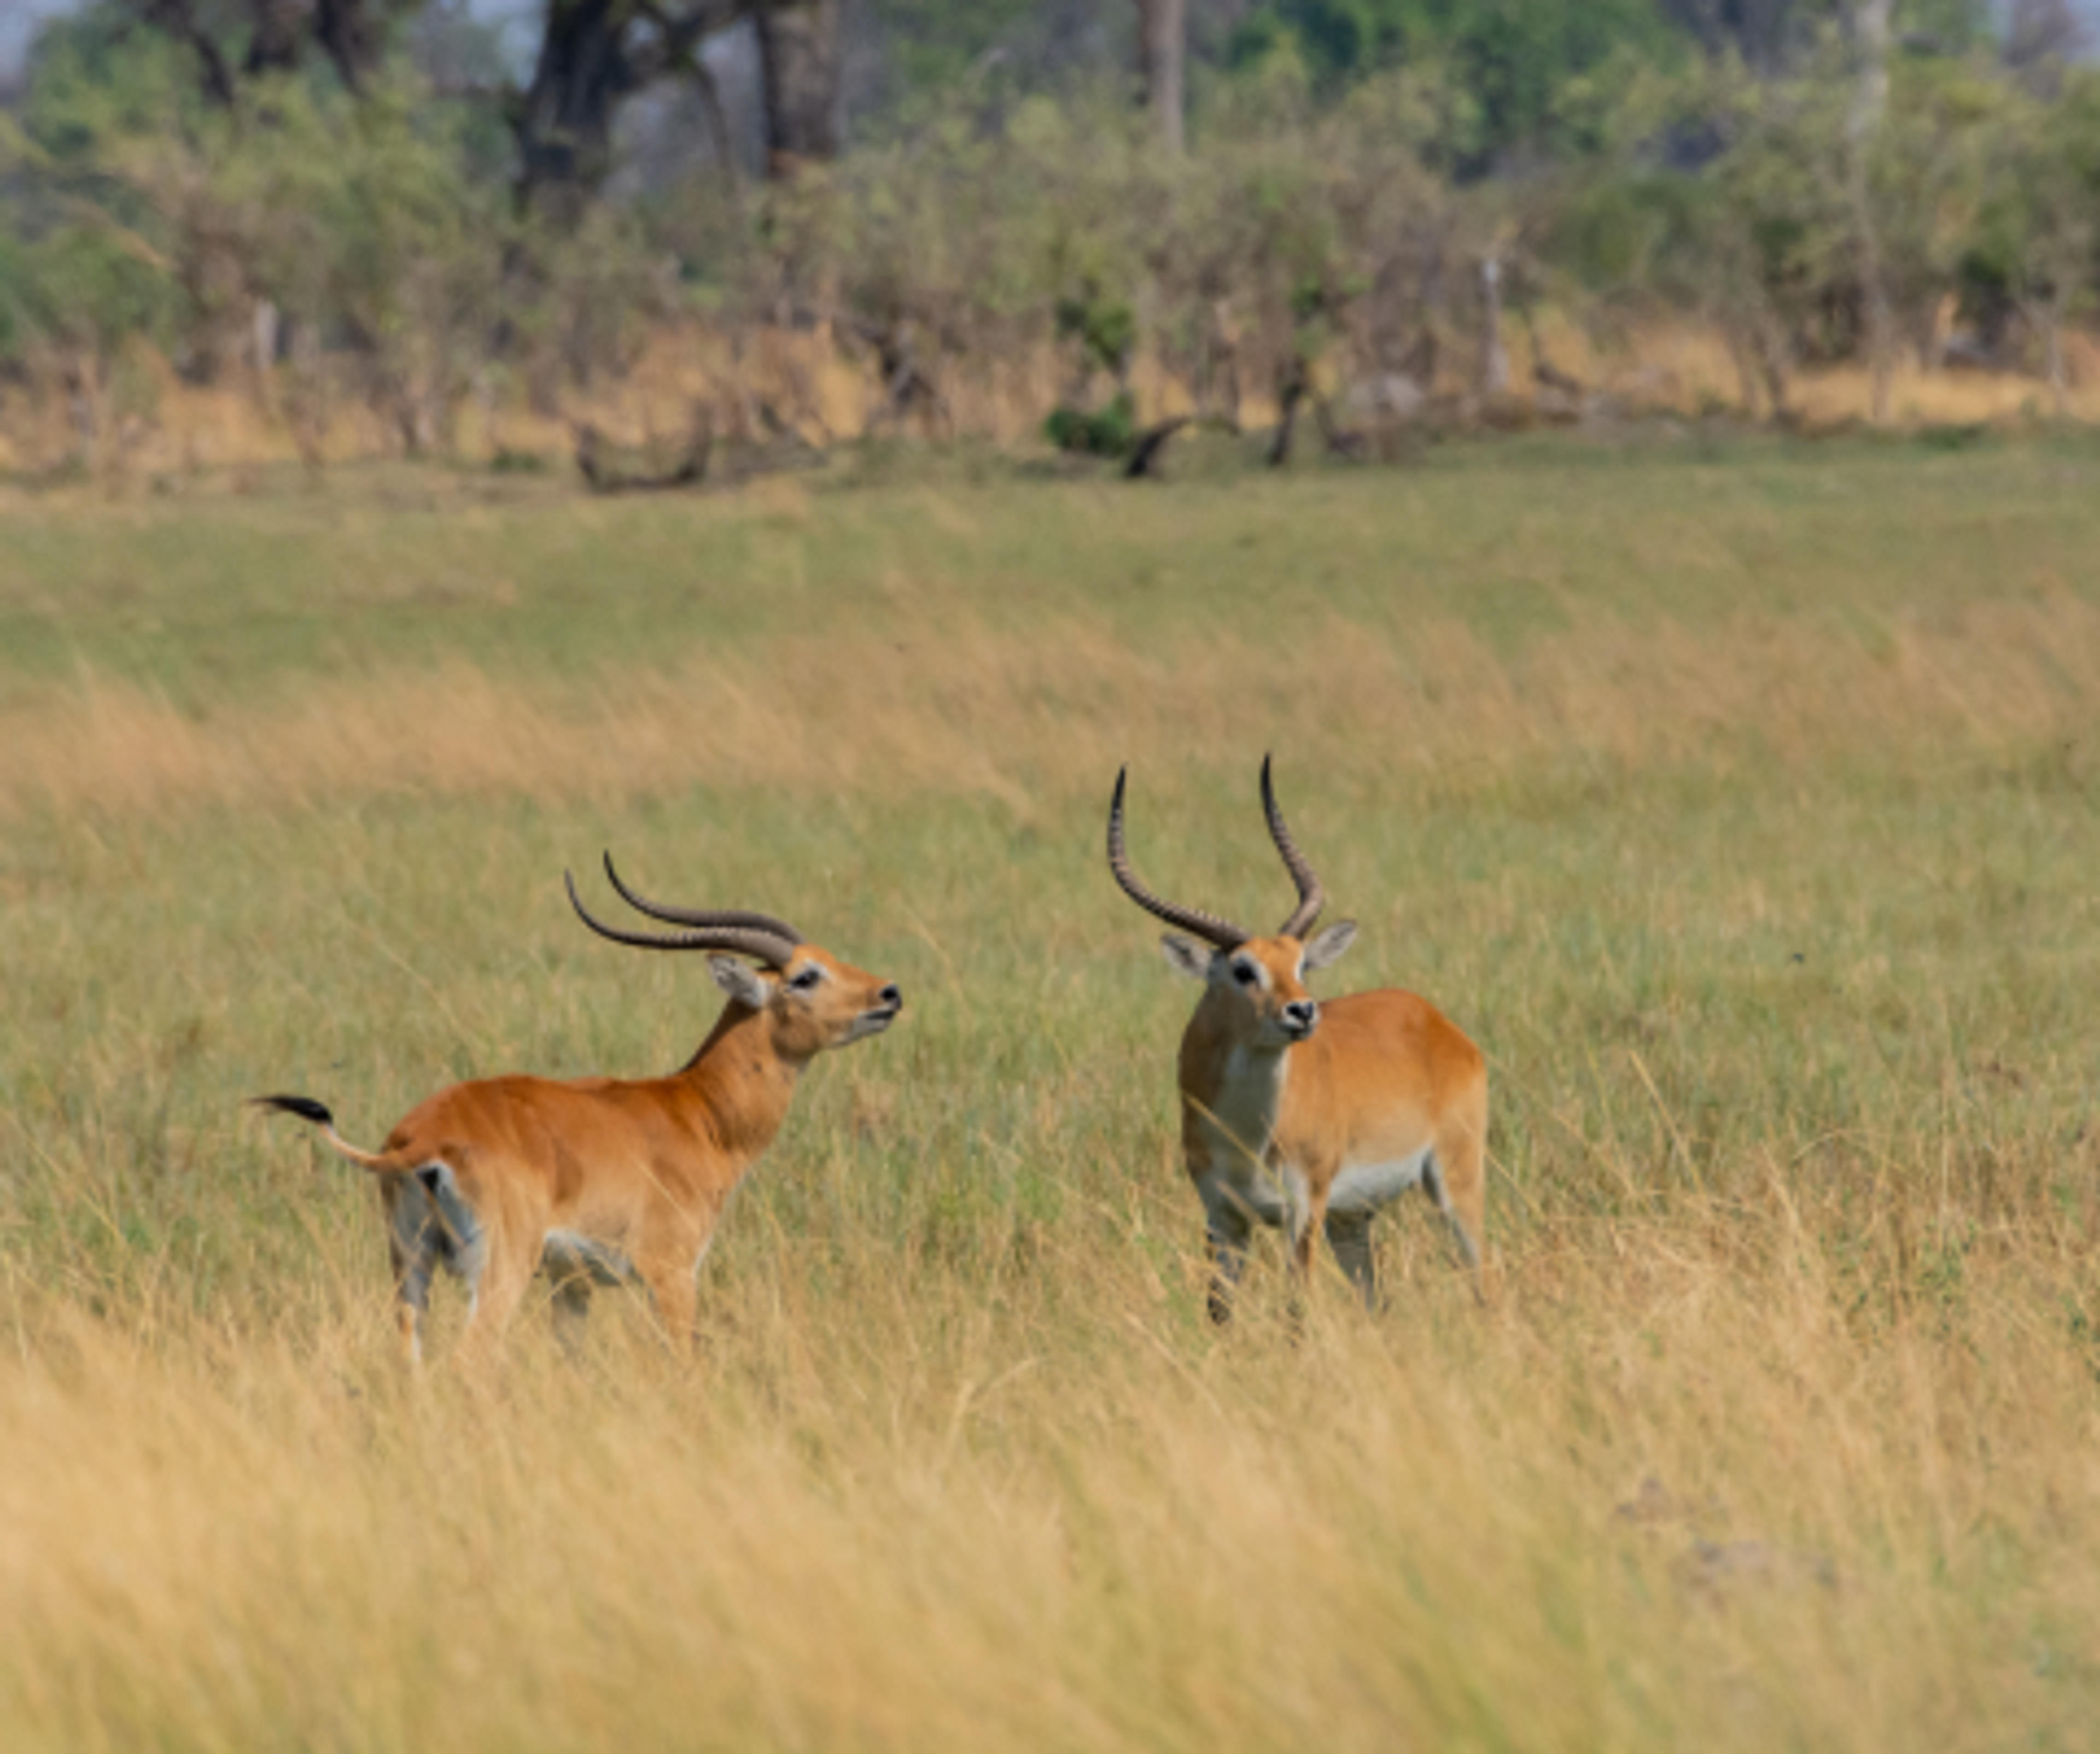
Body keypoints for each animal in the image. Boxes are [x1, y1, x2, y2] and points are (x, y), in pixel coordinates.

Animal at [249, 857, 899, 1361]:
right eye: (806, 976)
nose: (888, 994)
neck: (699, 1113)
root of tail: (420, 1141)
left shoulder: (571, 1284)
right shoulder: (672, 1273)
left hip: (411, 1269)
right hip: (499, 1270)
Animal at [1109, 756, 1486, 1319]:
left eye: (1300, 963)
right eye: (1243, 969)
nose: (1304, 1011)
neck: (1247, 1137)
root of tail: (1435, 1020)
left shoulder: (1302, 1211)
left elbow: (1296, 1312)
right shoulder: (1223, 1218)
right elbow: (1218, 1313)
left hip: (1452, 1183)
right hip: (1351, 1219)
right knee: (1376, 1302)